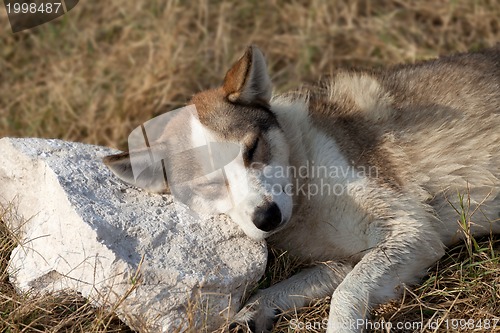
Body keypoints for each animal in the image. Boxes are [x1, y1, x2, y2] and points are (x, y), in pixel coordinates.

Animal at [104, 45, 500, 330]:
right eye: (209, 184)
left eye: (252, 149)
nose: (267, 217)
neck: (306, 193)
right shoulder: (340, 262)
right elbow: (272, 292)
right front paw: (247, 317)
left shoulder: (414, 229)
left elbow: (344, 297)